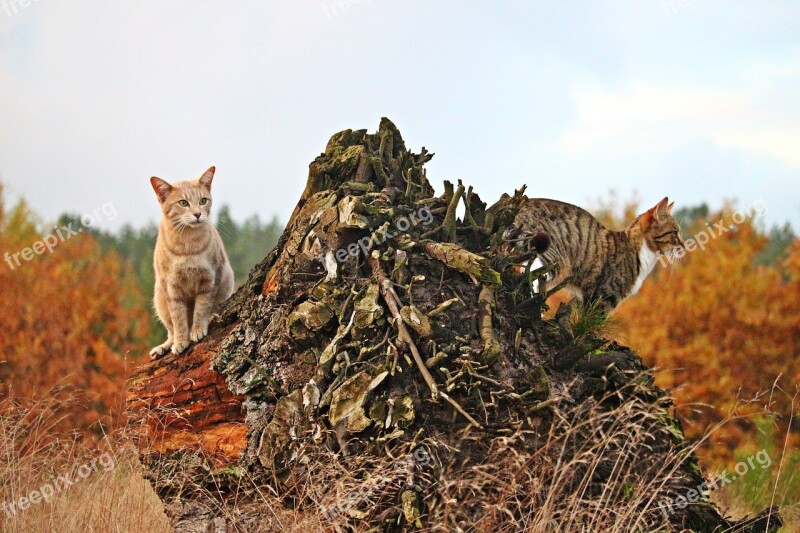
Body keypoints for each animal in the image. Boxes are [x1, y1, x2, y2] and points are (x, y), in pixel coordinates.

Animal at [148, 166, 234, 358]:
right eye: (183, 203)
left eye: (203, 201)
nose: (197, 214)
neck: (188, 247)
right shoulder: (171, 288)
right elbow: (178, 319)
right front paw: (181, 341)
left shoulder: (210, 279)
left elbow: (202, 308)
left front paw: (198, 329)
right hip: (159, 297)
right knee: (170, 330)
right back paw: (164, 346)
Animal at [520, 197, 684, 310]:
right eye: (675, 233)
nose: (684, 246)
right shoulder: (605, 296)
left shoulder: (585, 297)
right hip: (560, 264)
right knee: (540, 287)